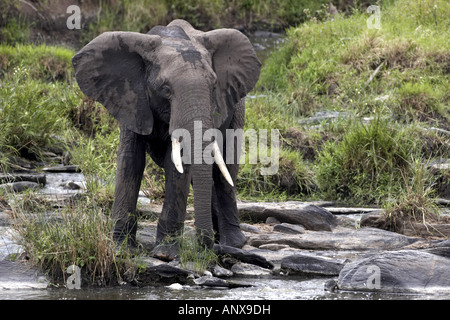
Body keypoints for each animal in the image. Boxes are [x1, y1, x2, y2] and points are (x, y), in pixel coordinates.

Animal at [70, 18, 260, 256]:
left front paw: (165, 254)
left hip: (237, 110)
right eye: (165, 88)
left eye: (214, 85)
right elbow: (130, 161)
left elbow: (176, 164)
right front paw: (122, 250)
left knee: (225, 169)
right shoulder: (131, 99)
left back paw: (232, 243)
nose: (203, 245)